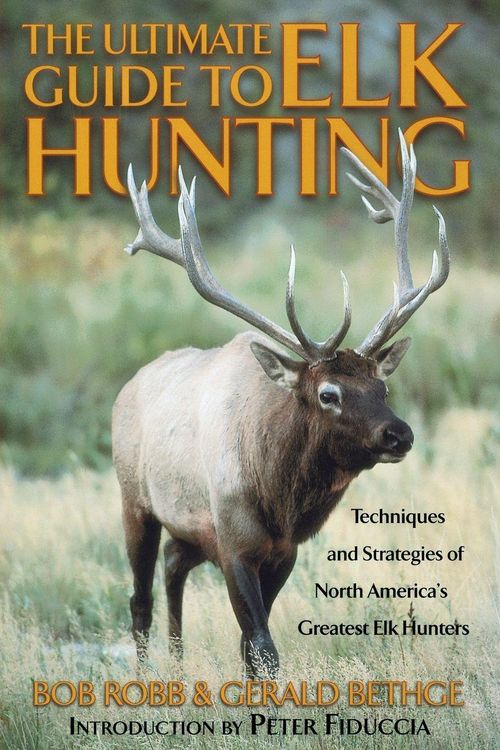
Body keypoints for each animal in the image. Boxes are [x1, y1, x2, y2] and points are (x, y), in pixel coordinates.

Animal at [112, 131, 449, 677]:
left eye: (383, 388)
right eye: (329, 393)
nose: (400, 434)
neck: (279, 498)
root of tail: (127, 387)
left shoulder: (283, 552)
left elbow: (250, 647)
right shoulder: (233, 541)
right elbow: (263, 646)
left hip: (187, 529)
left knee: (172, 568)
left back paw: (178, 666)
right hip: (134, 501)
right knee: (140, 598)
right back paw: (147, 675)